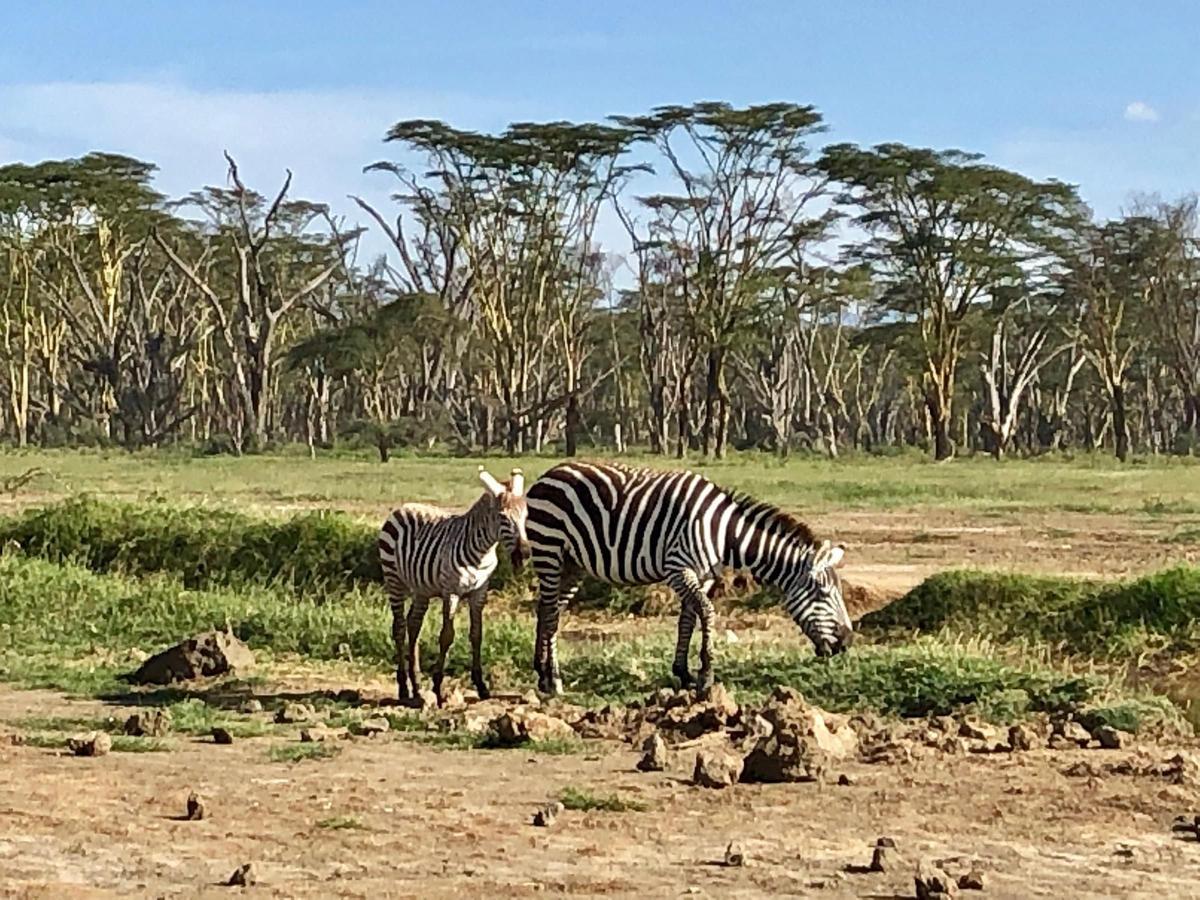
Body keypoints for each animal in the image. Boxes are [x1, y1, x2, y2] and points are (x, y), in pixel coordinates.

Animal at [374, 468, 525, 710]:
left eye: (526, 515)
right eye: (503, 518)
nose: (525, 553)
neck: (483, 550)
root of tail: (403, 506)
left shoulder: (479, 593)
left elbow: (477, 634)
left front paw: (481, 686)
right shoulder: (451, 591)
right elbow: (447, 636)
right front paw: (437, 689)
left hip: (422, 589)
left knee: (413, 625)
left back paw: (416, 685)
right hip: (393, 579)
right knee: (399, 627)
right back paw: (404, 688)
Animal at [525, 460, 854, 696]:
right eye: (823, 594)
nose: (847, 643)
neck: (724, 533)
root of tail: (546, 475)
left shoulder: (701, 575)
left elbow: (688, 619)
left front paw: (683, 673)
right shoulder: (678, 568)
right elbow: (706, 612)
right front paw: (706, 676)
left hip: (573, 563)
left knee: (548, 609)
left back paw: (541, 673)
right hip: (550, 551)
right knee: (551, 613)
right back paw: (554, 680)